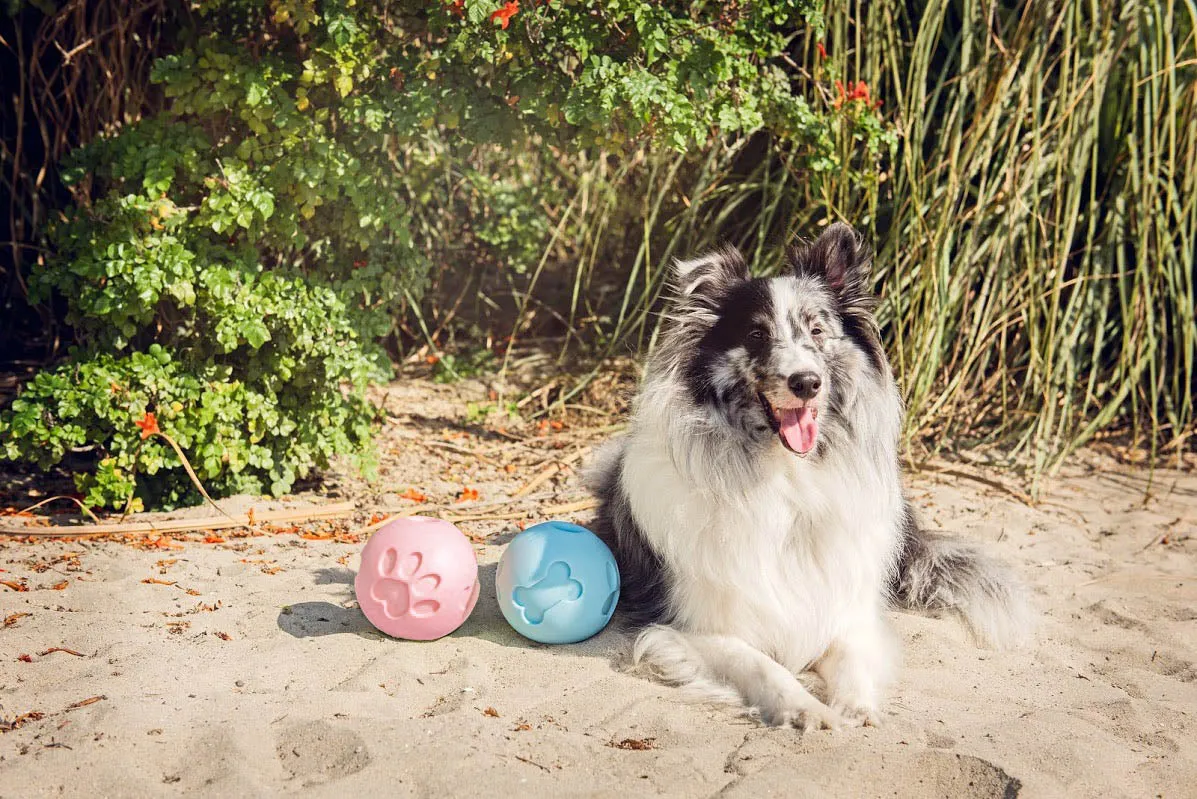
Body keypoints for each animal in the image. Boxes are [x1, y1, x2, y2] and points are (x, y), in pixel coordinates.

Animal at [584, 221, 1034, 727]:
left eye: (817, 330)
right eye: (756, 335)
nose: (806, 383)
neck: (786, 479)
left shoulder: (848, 611)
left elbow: (849, 656)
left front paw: (855, 705)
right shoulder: (690, 628)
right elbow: (761, 665)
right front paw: (805, 708)